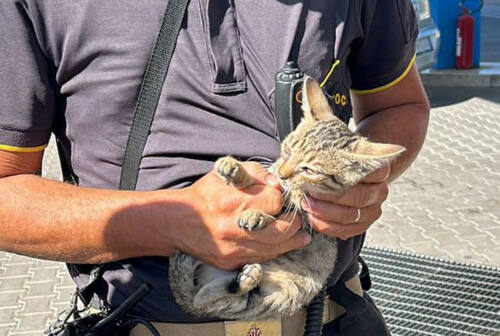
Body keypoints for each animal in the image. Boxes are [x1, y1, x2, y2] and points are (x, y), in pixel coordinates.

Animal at [170, 77, 404, 320]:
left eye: (309, 170)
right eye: (288, 149)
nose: (283, 174)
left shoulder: (307, 224)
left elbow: (287, 213)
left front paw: (258, 215)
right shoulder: (273, 174)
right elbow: (263, 180)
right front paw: (236, 171)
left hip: (273, 296)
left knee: (213, 301)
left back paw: (245, 280)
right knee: (202, 300)